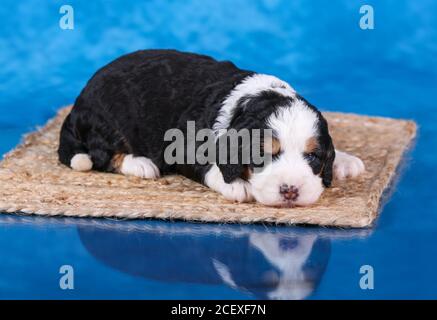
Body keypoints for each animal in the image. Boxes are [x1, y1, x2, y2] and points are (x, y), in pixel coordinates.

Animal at [58, 48, 364, 206]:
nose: (290, 190)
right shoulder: (180, 143)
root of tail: (78, 103)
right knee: (102, 155)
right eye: (262, 155)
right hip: (107, 121)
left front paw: (344, 160)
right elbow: (210, 166)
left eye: (313, 156)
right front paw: (237, 185)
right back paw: (141, 164)